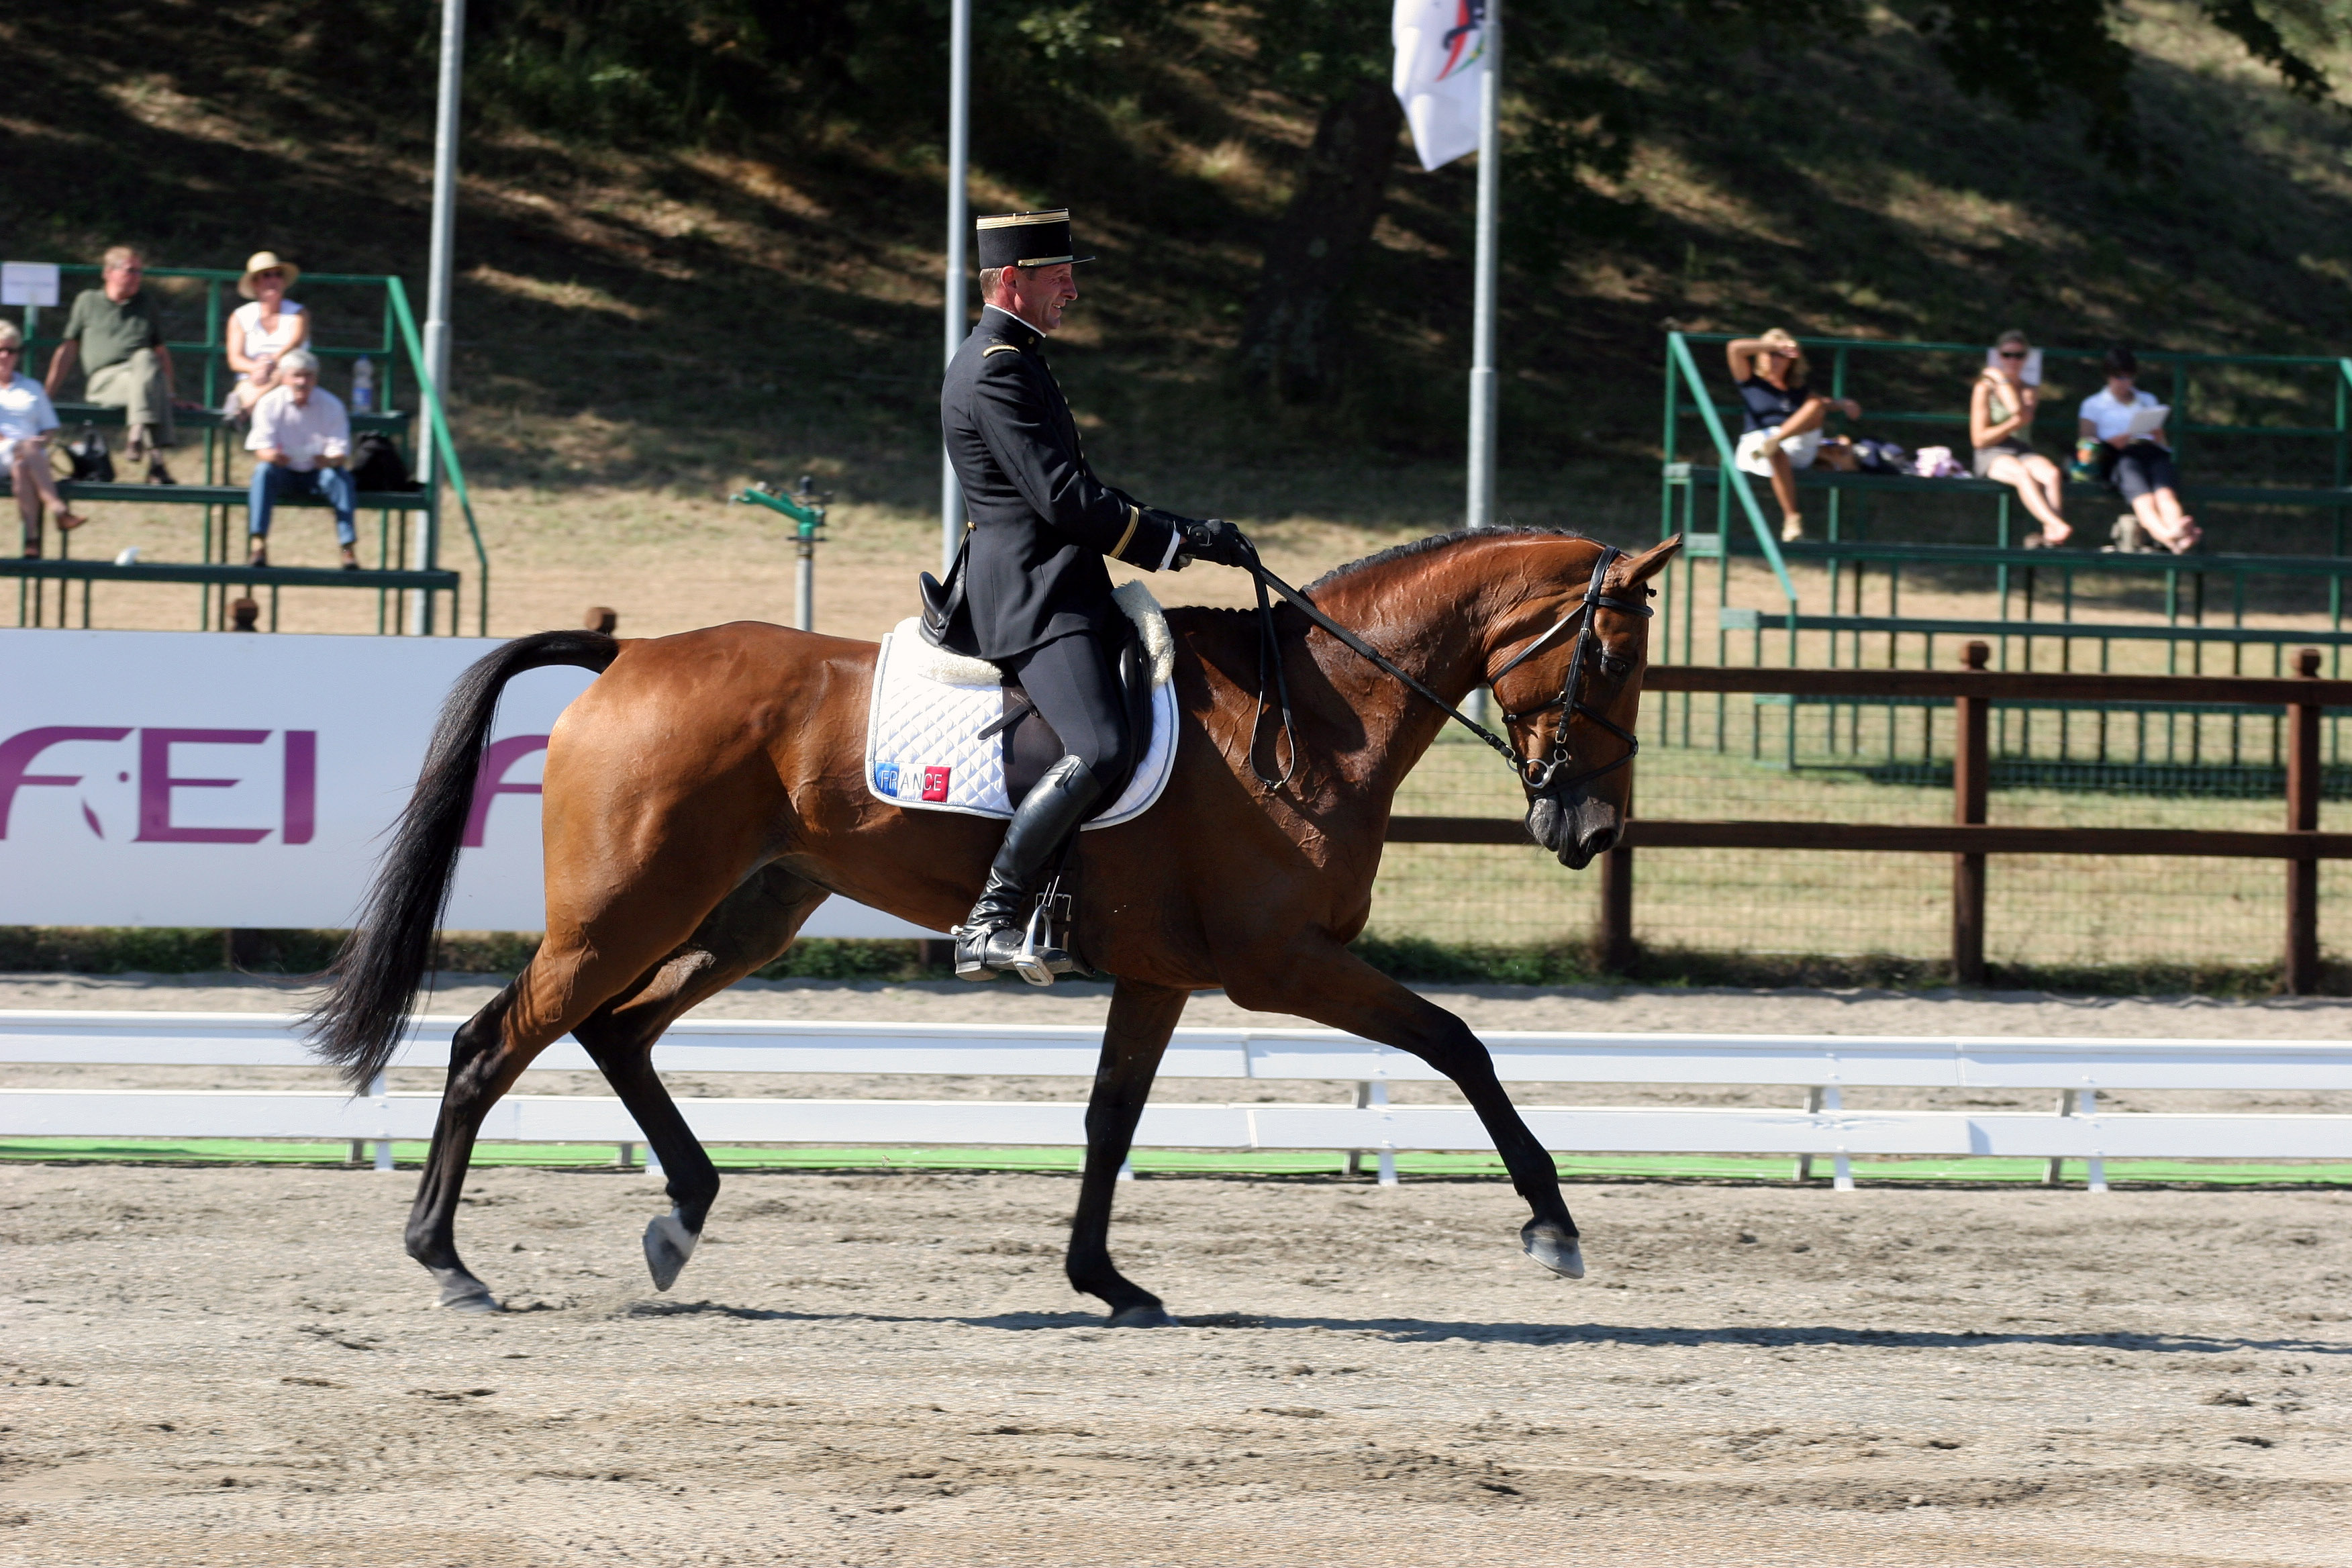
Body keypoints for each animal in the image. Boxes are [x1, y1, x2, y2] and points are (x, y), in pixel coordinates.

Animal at [308, 531, 1674, 1326]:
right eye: (1611, 656)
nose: (1589, 828)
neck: (1315, 710)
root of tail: (630, 655)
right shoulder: (1279, 964)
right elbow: (1458, 1043)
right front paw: (1552, 1227)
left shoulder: (1163, 976)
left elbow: (1111, 1120)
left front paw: (1105, 1282)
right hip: (622, 908)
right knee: (493, 1044)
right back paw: (448, 1263)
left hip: (748, 909)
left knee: (617, 1035)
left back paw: (678, 1215)